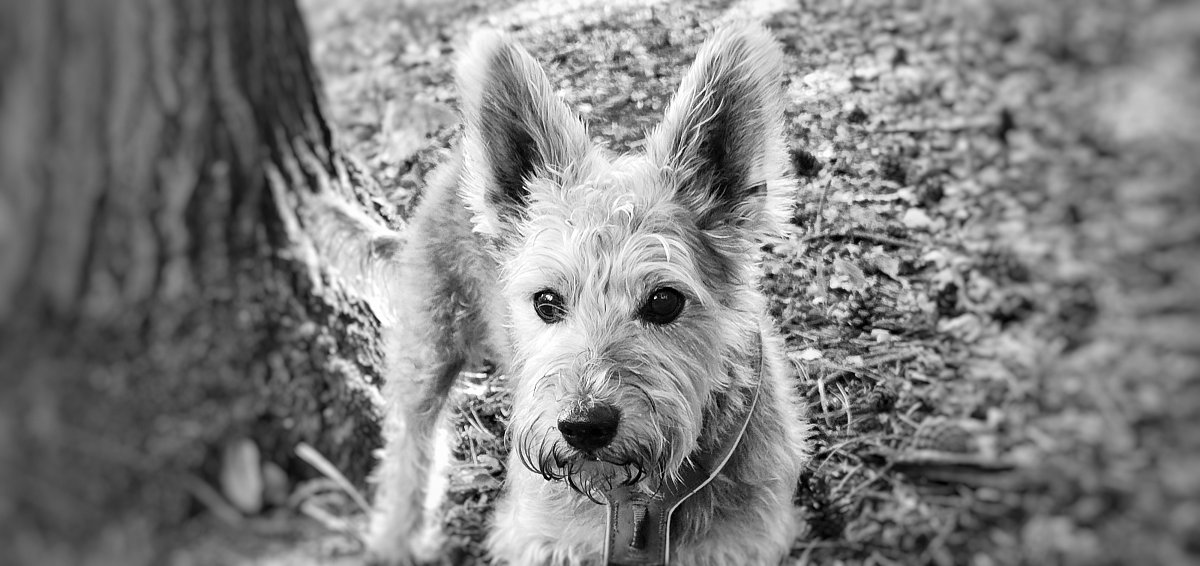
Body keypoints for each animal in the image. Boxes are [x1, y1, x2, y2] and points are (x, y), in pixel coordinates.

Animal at [341, 23, 811, 566]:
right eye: (546, 302)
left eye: (664, 301)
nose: (584, 425)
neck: (639, 500)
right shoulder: (541, 538)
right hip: (426, 351)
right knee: (409, 448)